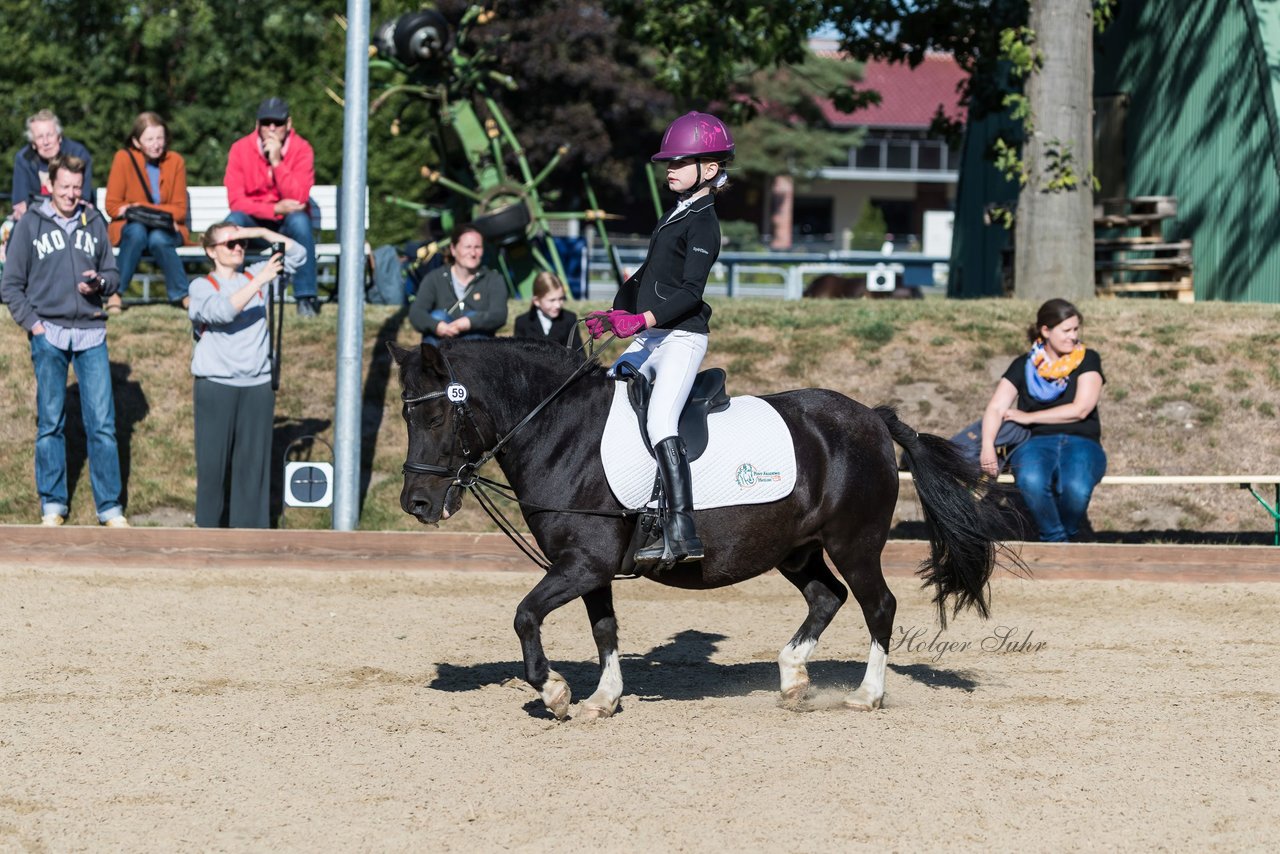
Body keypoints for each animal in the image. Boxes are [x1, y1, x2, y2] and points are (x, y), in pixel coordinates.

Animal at [394, 338, 1013, 717]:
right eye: (405, 414)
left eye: (438, 415)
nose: (416, 503)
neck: (561, 431)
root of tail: (872, 418)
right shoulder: (588, 568)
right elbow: (604, 631)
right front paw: (603, 699)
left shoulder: (582, 564)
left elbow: (525, 615)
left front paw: (554, 691)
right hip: (796, 549)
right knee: (826, 597)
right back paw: (792, 679)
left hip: (854, 543)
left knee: (876, 605)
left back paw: (865, 695)